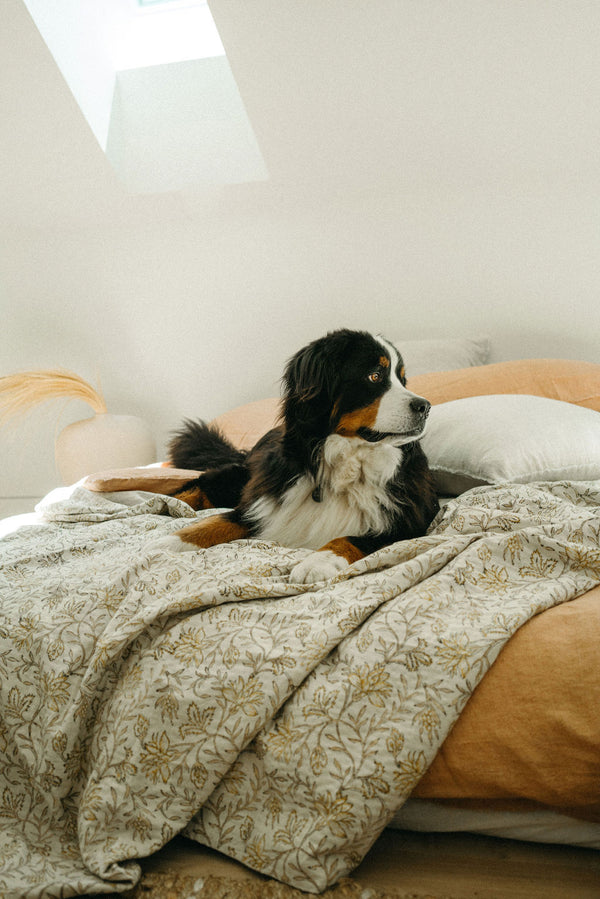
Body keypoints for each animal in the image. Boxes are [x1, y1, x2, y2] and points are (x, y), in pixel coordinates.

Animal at [162, 328, 438, 584]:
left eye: (403, 380)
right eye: (375, 375)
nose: (425, 406)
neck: (345, 463)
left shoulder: (412, 521)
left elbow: (353, 538)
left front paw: (316, 562)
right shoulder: (265, 498)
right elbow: (222, 520)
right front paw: (170, 541)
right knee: (199, 487)